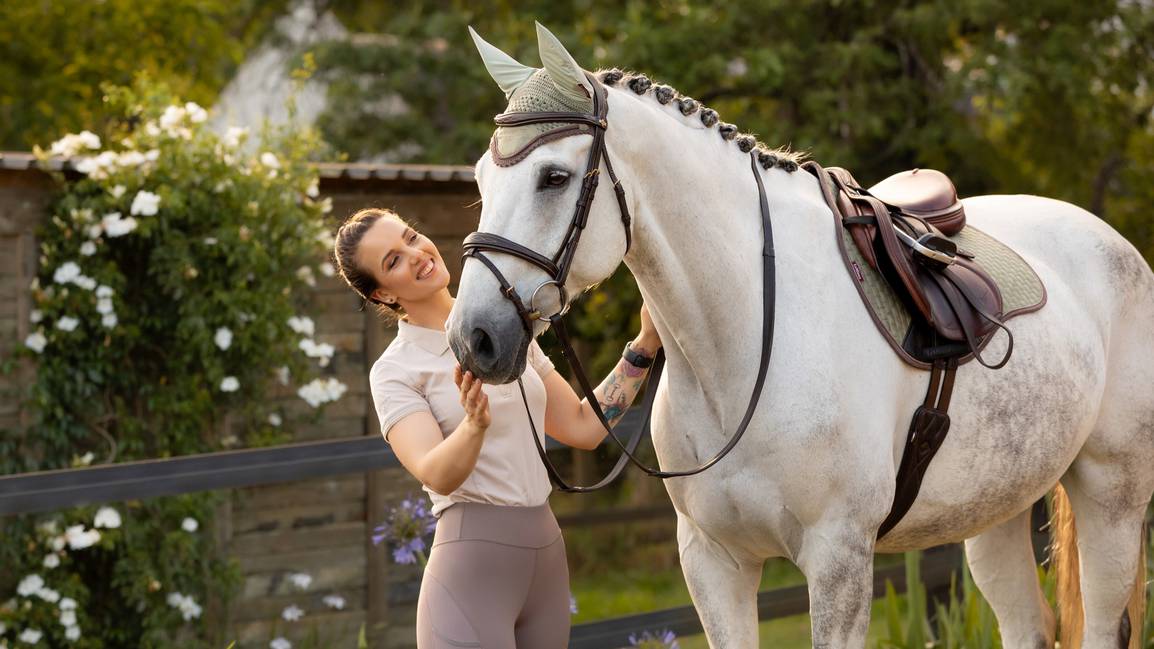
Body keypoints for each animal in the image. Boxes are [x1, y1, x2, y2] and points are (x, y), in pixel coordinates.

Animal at [443, 22, 1154, 642]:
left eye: (554, 177)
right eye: (479, 178)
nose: (473, 338)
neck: (746, 344)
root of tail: (1115, 245)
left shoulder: (838, 561)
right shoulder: (713, 563)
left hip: (1112, 499)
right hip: (993, 513)